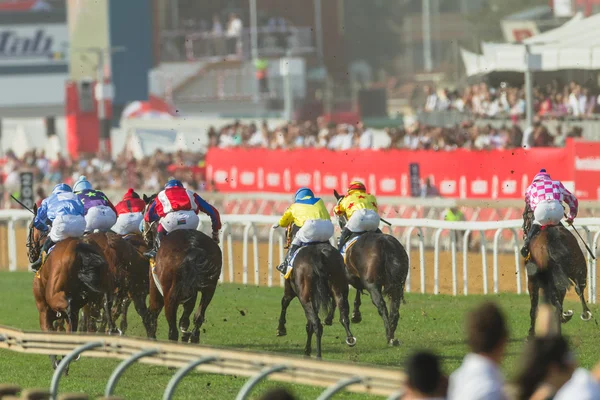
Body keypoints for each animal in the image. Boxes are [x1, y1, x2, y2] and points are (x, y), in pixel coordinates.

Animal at [27, 205, 116, 370]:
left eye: (30, 227)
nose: (30, 254)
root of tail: (79, 247)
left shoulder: (43, 310)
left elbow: (48, 332)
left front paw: (57, 362)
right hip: (103, 283)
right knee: (106, 303)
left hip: (54, 296)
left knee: (70, 310)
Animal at [142, 205, 223, 342]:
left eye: (144, 212)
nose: (144, 236)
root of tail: (192, 247)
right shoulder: (191, 295)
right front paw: (186, 333)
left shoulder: (155, 289)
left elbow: (151, 315)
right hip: (210, 287)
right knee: (199, 316)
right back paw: (193, 337)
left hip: (169, 294)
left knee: (171, 329)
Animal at [276, 225, 356, 360]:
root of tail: (319, 254)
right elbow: (309, 325)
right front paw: (307, 350)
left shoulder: (290, 290)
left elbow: (284, 302)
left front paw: (281, 329)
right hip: (339, 287)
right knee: (343, 314)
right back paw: (350, 337)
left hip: (305, 297)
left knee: (317, 324)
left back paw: (318, 354)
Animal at [330, 191, 410, 346]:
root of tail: (385, 243)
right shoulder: (358, 277)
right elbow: (357, 293)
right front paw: (356, 315)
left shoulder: (347, 277)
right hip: (397, 284)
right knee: (395, 308)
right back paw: (392, 333)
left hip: (372, 284)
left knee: (382, 306)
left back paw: (389, 336)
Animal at [524, 208, 592, 336]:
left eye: (525, 215)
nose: (524, 228)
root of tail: (552, 236)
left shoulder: (532, 281)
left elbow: (534, 308)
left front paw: (531, 333)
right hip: (579, 266)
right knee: (579, 288)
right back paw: (584, 313)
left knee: (555, 300)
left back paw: (565, 316)